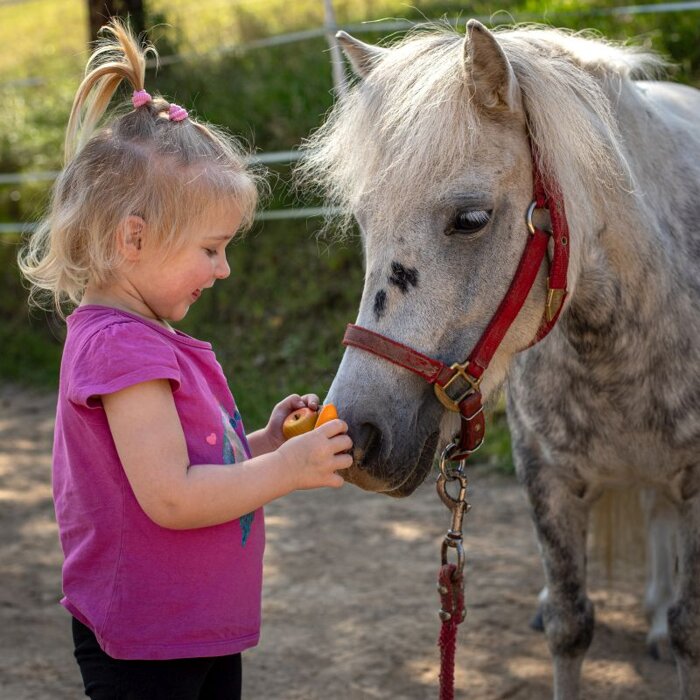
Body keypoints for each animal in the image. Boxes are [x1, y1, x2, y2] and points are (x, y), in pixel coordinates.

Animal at [300, 19, 700, 700]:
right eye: (363, 220)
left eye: (471, 219)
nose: (359, 433)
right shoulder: (545, 474)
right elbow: (569, 625)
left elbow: (687, 634)